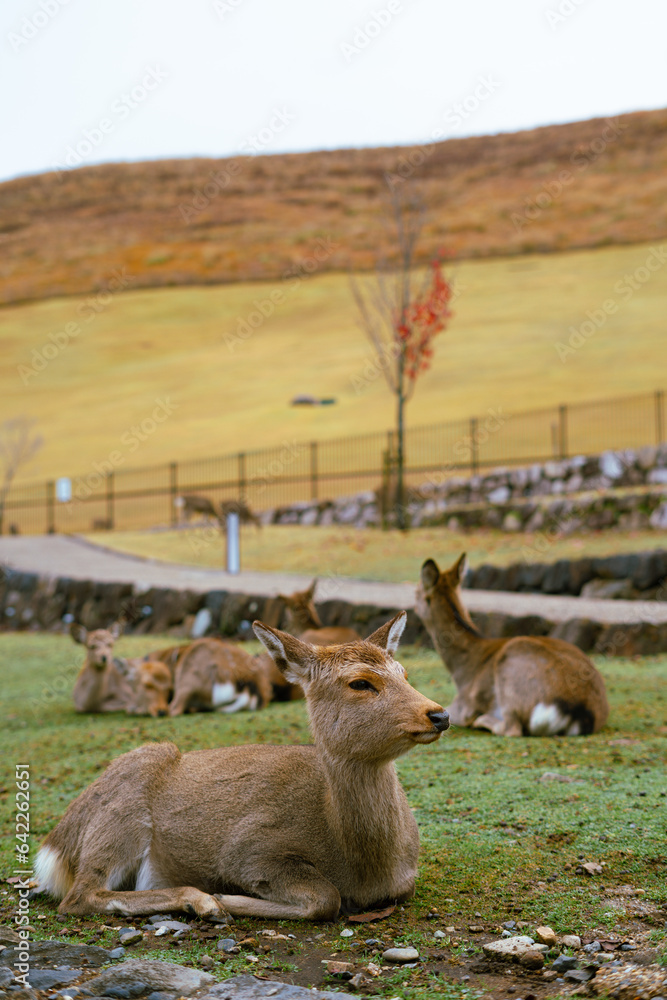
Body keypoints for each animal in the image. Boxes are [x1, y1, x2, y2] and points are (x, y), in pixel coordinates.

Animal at [34, 613, 449, 920]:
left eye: (405, 674)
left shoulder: (405, 880)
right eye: (360, 683)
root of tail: (55, 845)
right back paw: (201, 901)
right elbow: (324, 898)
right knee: (79, 896)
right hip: (119, 815)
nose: (439, 714)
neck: (365, 867)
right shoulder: (248, 850)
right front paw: (224, 898)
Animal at [415, 554, 609, 737]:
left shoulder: (463, 706)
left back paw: (482, 721)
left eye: (417, 591)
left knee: (512, 728)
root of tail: (580, 713)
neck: (461, 671)